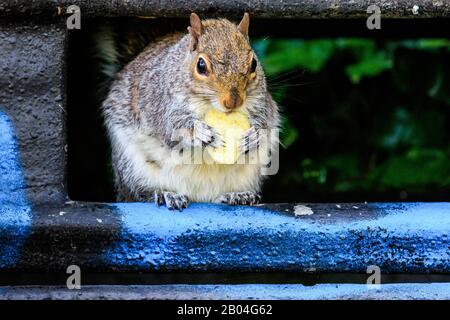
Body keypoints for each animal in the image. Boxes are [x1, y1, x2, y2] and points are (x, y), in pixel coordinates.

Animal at [100, 13, 280, 210]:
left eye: (253, 64)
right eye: (201, 65)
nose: (233, 102)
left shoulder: (262, 102)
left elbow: (265, 121)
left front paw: (254, 136)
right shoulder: (160, 103)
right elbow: (171, 131)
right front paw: (200, 133)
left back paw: (239, 195)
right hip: (132, 167)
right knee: (139, 194)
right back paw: (165, 194)